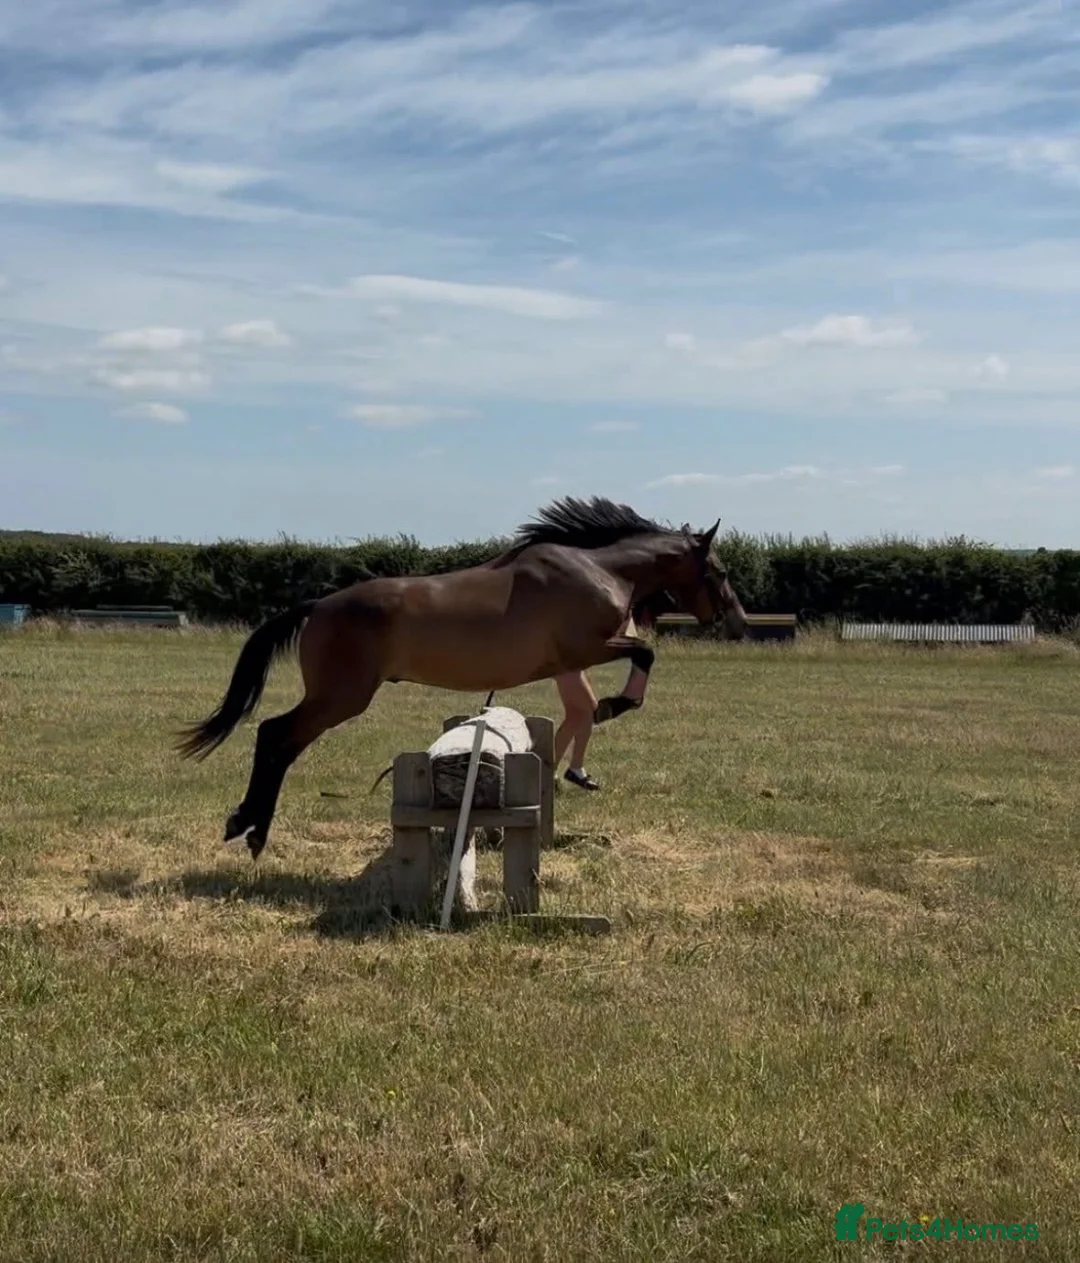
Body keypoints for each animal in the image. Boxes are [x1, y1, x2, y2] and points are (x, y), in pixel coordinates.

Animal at [176, 496, 747, 859]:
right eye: (719, 571)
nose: (736, 621)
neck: (600, 570)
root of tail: (319, 605)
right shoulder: (587, 648)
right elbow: (645, 654)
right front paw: (616, 704)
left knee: (277, 738)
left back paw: (247, 826)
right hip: (340, 697)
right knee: (276, 735)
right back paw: (250, 829)